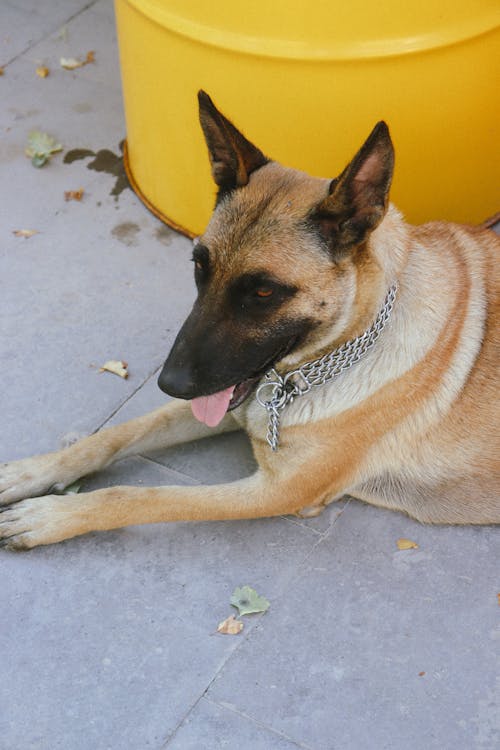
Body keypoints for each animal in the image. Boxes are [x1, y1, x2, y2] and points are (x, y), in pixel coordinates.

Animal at [0, 95, 500, 552]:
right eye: (199, 267)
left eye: (263, 293)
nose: (170, 383)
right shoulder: (227, 400)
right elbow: (116, 434)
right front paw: (34, 471)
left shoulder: (277, 491)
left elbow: (139, 496)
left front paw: (51, 516)